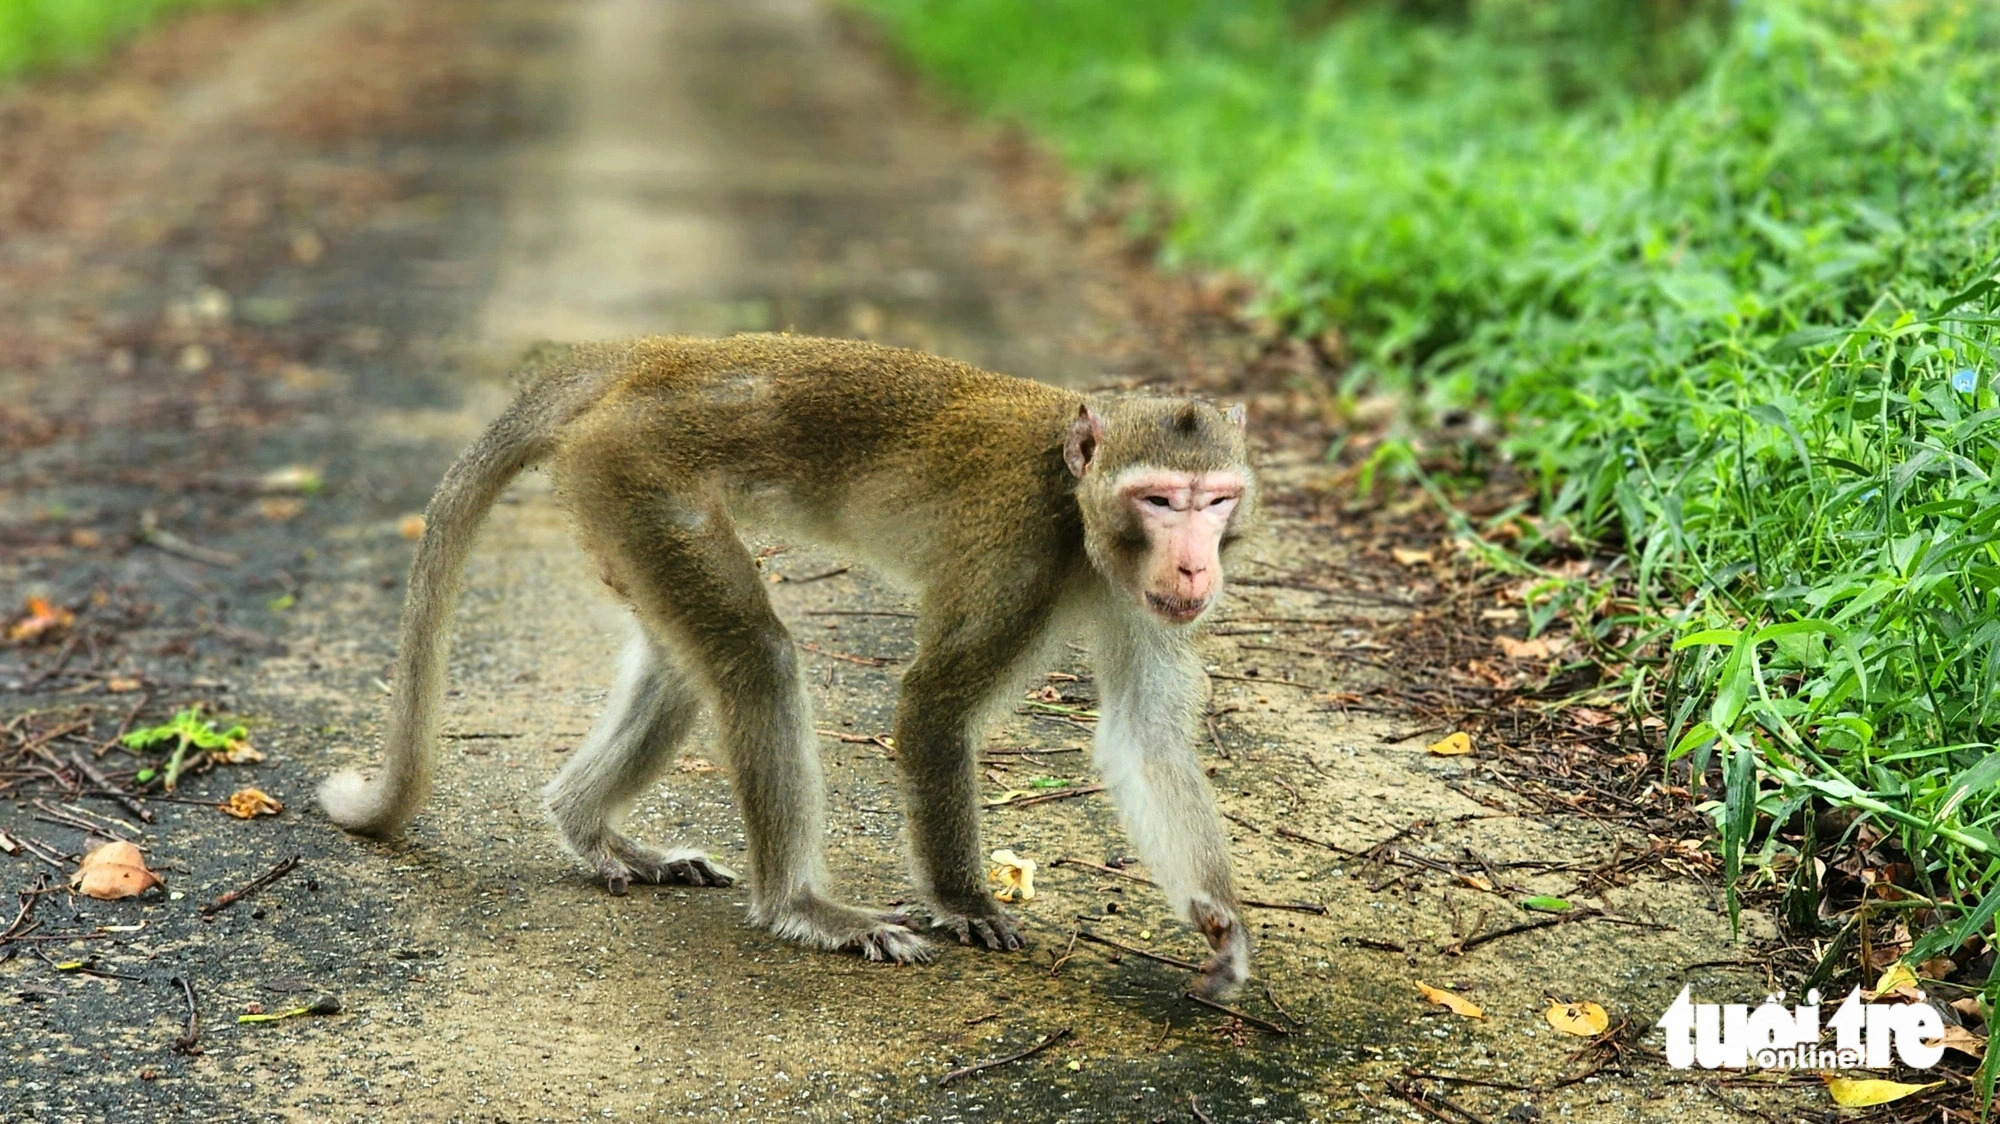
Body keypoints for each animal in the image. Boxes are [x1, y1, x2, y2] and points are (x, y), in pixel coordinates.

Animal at [318, 328, 1256, 992]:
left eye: (1215, 502)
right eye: (1159, 500)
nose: (1193, 567)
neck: (1077, 512)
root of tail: (656, 356)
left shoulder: (1142, 601)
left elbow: (1143, 738)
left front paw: (1221, 926)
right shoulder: (1017, 548)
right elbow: (933, 704)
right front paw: (964, 903)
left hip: (619, 498)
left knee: (684, 664)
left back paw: (588, 826)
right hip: (635, 471)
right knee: (755, 657)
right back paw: (800, 908)